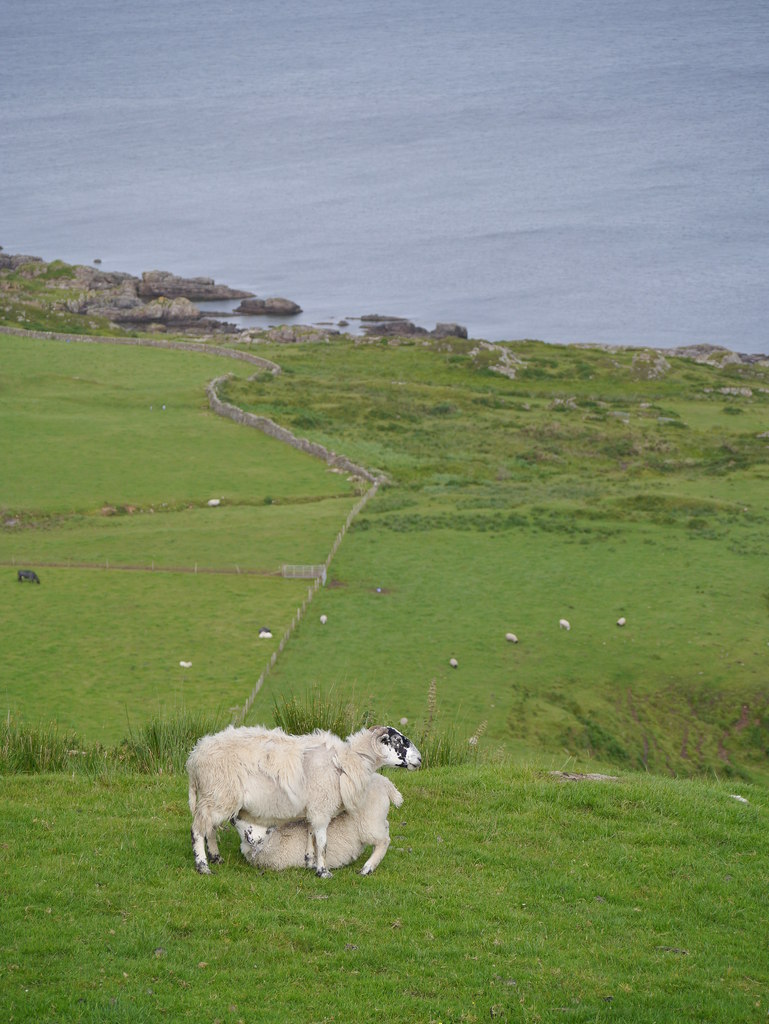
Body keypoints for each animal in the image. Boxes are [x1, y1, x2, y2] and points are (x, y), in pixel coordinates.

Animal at [234, 770, 403, 876]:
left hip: (368, 822)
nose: (234, 816)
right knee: (385, 828)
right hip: (377, 817)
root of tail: (385, 783)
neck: (278, 839)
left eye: (247, 817)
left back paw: (367, 868)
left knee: (384, 841)